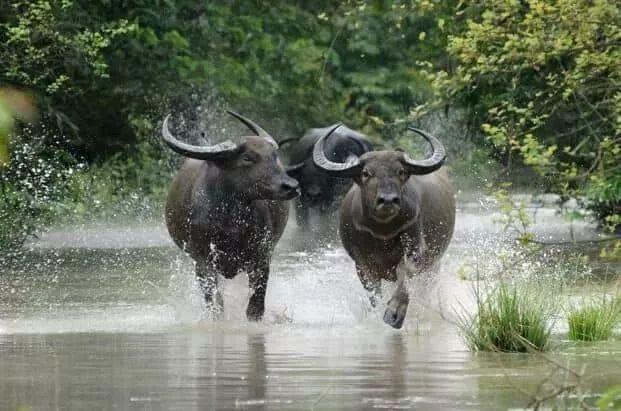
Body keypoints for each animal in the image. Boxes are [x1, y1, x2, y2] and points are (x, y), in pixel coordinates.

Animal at [161, 112, 300, 322]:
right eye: (247, 158)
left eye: (274, 157)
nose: (290, 186)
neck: (231, 221)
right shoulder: (203, 260)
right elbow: (215, 301)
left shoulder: (261, 256)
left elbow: (256, 304)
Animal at [314, 124, 456, 330]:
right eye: (366, 173)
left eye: (400, 172)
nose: (388, 200)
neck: (383, 232)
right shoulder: (361, 264)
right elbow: (374, 293)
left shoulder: (415, 250)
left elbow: (405, 277)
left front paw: (394, 313)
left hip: (433, 265)